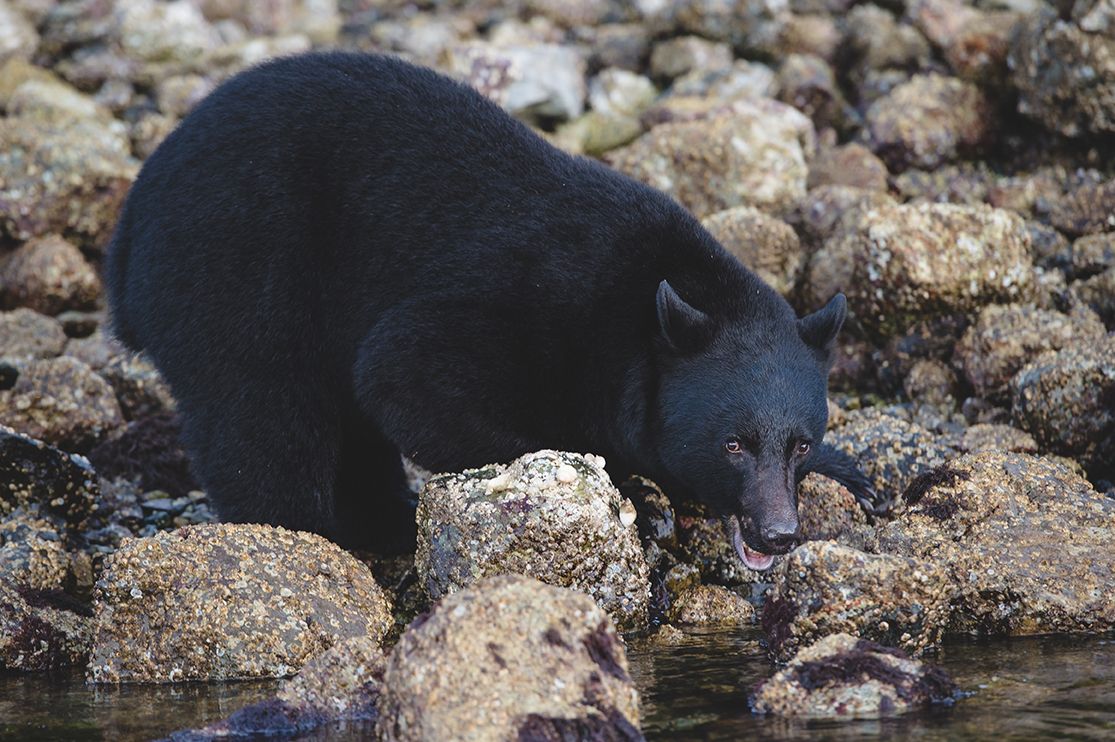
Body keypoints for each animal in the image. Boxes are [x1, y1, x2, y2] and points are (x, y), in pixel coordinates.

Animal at [104, 52, 879, 570]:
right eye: (732, 444)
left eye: (797, 442)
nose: (778, 533)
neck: (632, 314)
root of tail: (129, 221)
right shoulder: (526, 300)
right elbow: (409, 376)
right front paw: (628, 483)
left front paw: (850, 470)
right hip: (233, 270)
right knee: (263, 418)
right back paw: (307, 538)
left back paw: (385, 521)